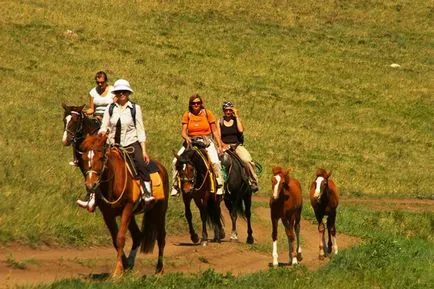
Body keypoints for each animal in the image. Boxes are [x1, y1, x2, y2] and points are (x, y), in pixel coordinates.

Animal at [79, 133, 168, 274]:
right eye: (83, 158)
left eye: (101, 158)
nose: (90, 185)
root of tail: (161, 167)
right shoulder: (107, 215)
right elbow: (115, 240)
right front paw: (124, 266)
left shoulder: (127, 207)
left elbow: (120, 238)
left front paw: (117, 271)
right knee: (138, 236)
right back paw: (130, 265)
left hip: (160, 210)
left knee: (161, 237)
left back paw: (159, 269)